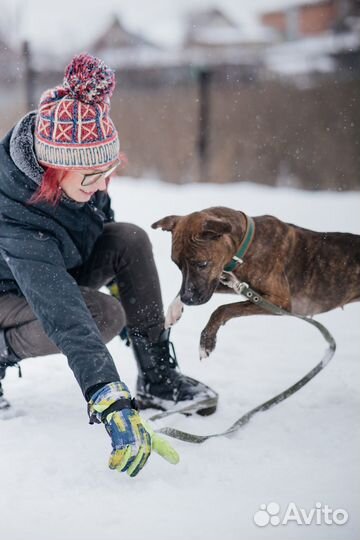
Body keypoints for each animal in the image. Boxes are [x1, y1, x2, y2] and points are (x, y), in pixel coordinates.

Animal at [152, 207, 360, 358]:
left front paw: (207, 341)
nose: (187, 299)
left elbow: (224, 309)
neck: (245, 246)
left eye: (202, 264)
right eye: (177, 265)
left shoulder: (279, 301)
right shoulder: (231, 281)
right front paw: (173, 310)